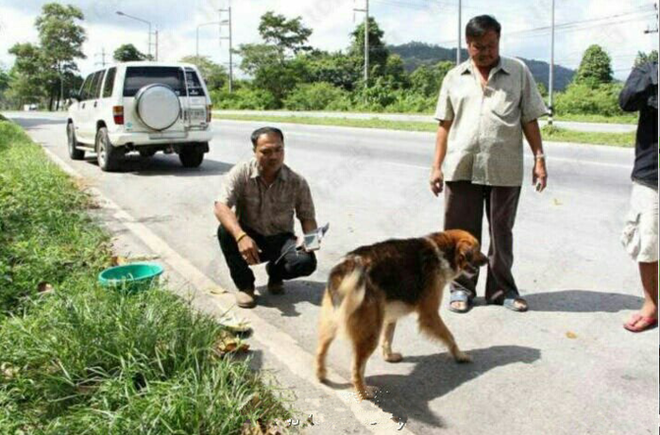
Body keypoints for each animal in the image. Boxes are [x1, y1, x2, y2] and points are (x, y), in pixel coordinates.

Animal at [314, 230, 490, 400]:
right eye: (477, 250)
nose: (488, 260)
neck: (443, 252)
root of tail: (346, 266)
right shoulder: (429, 313)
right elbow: (449, 337)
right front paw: (460, 355)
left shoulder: (389, 315)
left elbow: (388, 338)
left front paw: (389, 356)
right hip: (370, 332)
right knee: (356, 369)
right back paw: (363, 393)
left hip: (333, 323)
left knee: (321, 349)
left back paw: (321, 374)